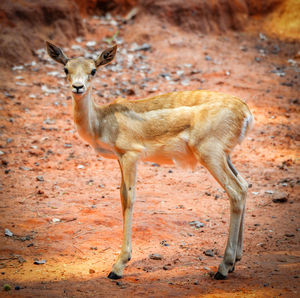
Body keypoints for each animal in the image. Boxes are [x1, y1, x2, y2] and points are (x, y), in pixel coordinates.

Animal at [46, 40, 253, 280]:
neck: (102, 121)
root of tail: (245, 111)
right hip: (224, 156)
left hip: (210, 155)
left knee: (235, 192)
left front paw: (118, 266)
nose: (78, 87)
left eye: (93, 70)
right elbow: (121, 196)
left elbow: (129, 199)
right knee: (244, 186)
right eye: (65, 69)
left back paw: (223, 267)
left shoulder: (130, 155)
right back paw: (236, 260)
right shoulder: (119, 158)